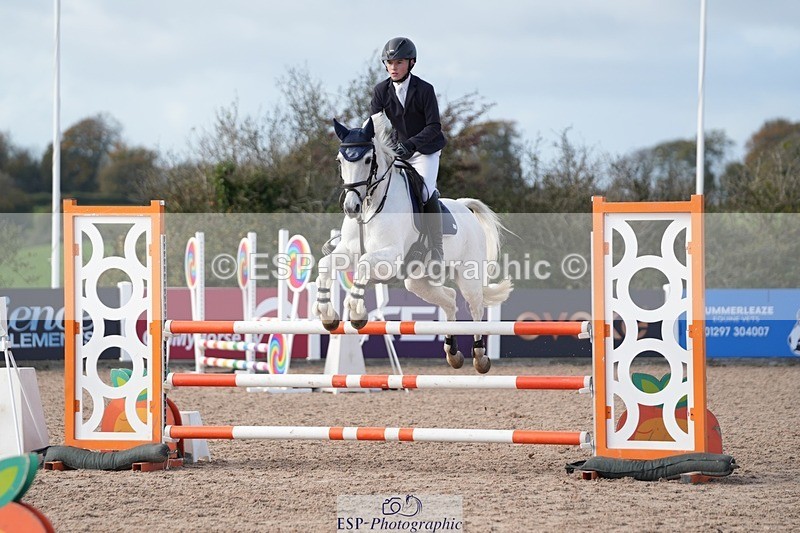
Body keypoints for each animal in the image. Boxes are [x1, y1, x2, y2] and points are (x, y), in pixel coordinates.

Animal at [312, 112, 513, 373]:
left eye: (367, 160)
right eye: (340, 161)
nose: (351, 208)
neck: (371, 206)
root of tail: (463, 206)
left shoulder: (390, 256)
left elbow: (364, 265)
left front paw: (356, 313)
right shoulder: (347, 251)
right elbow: (325, 264)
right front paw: (327, 314)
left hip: (468, 276)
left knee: (476, 308)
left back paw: (480, 357)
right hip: (418, 281)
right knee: (449, 299)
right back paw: (452, 353)